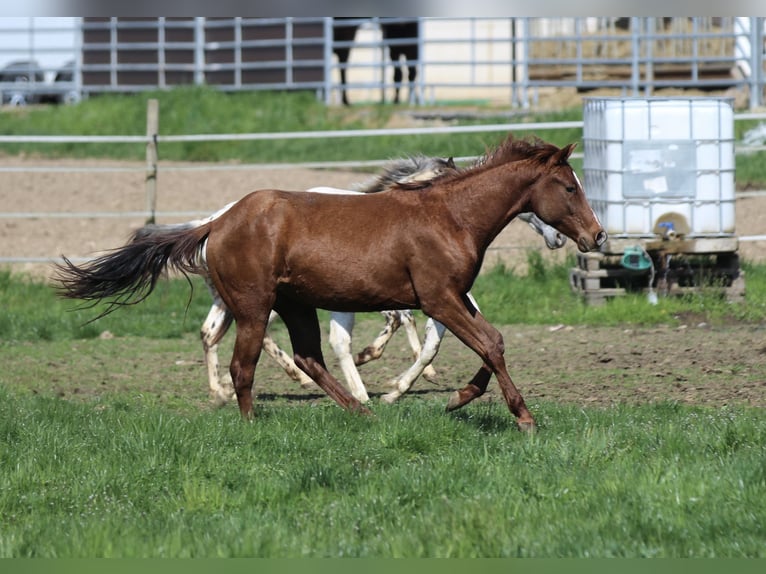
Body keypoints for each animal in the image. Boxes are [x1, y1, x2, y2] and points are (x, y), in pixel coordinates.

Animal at [132, 155, 566, 406]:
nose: (560, 238)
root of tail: (212, 222)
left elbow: (428, 335)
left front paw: (401, 378)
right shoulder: (423, 294)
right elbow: (412, 334)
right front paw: (389, 383)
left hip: (236, 299)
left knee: (213, 333)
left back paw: (224, 389)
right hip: (256, 298)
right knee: (247, 336)